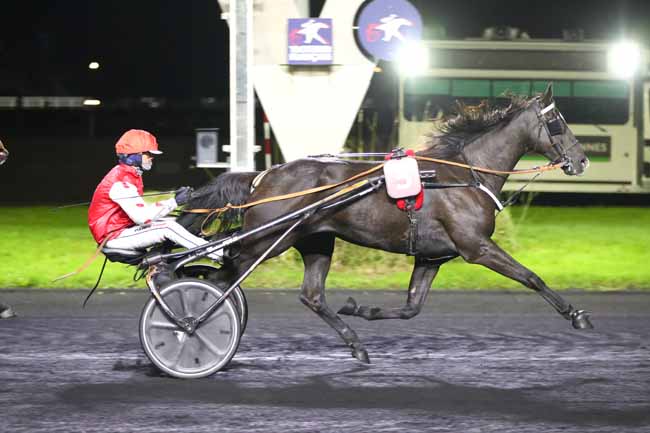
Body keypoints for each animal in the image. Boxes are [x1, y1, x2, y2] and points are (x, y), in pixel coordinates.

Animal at [177, 83, 592, 362]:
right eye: (557, 121)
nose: (582, 160)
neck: (465, 174)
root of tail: (263, 176)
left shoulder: (432, 256)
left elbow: (411, 307)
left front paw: (362, 309)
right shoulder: (476, 247)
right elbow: (531, 277)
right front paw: (577, 316)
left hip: (314, 241)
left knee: (310, 295)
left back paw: (356, 344)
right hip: (265, 241)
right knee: (219, 280)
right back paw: (190, 325)